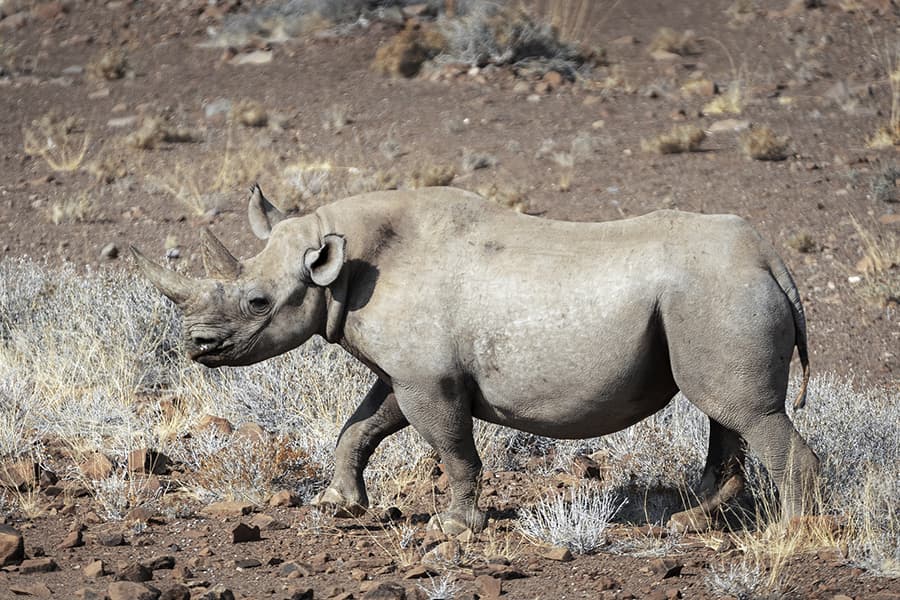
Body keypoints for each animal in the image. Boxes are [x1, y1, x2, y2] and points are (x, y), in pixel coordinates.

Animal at [133, 185, 819, 534]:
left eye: (257, 302)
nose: (196, 346)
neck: (343, 262)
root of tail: (773, 261)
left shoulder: (429, 379)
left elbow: (453, 450)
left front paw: (453, 529)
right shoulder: (406, 372)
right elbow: (361, 426)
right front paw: (339, 505)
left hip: (717, 294)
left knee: (746, 412)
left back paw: (788, 536)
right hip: (710, 296)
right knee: (725, 412)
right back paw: (688, 523)